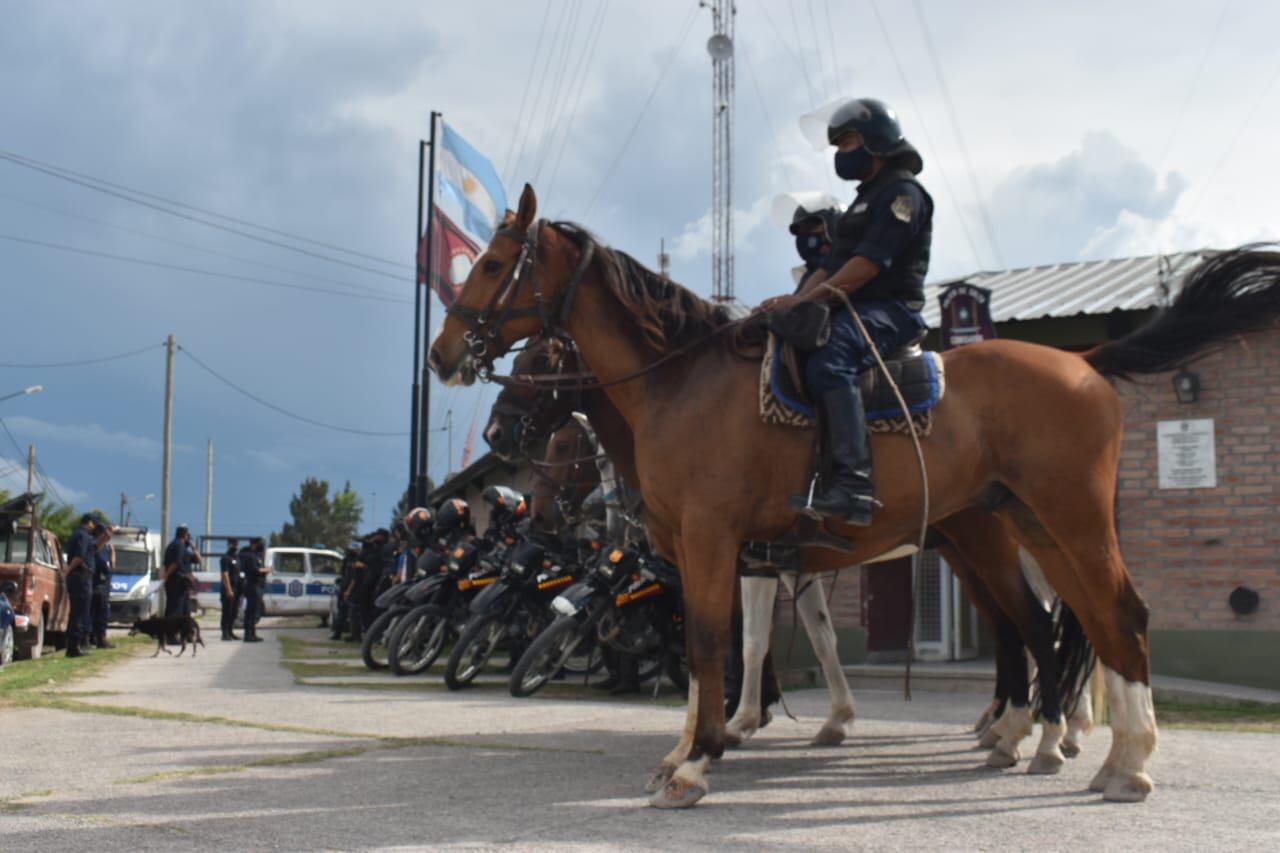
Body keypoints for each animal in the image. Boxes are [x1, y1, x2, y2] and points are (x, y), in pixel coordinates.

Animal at [435, 184, 1280, 804]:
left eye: (494, 264)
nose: (445, 354)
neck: (680, 383)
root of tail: (1084, 362)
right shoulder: (733, 554)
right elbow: (741, 648)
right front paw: (699, 744)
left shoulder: (720, 545)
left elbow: (719, 644)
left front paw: (702, 756)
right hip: (1025, 528)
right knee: (1063, 626)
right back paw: (1066, 747)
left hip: (1063, 524)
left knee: (1109, 619)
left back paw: (1112, 756)